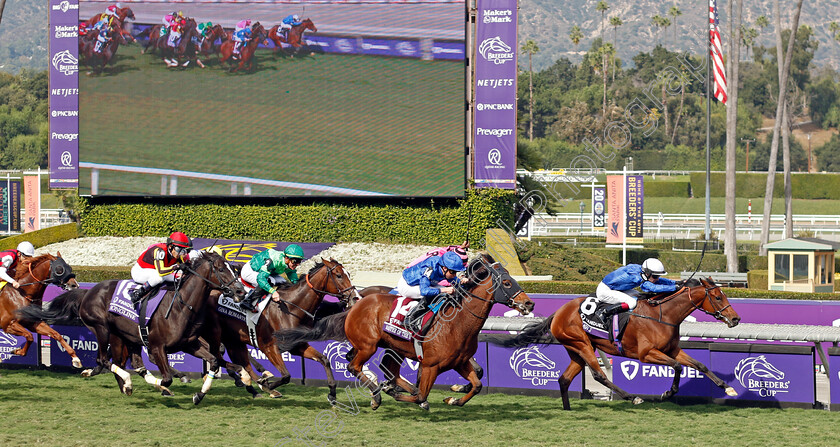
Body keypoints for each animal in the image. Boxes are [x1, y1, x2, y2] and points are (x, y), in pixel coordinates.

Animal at [19, 252, 244, 402]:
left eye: (233, 268)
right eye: (221, 269)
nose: (240, 291)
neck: (181, 305)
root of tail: (88, 292)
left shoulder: (189, 344)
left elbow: (213, 361)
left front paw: (199, 394)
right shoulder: (157, 346)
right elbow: (166, 379)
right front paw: (166, 387)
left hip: (125, 336)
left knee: (126, 362)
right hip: (102, 329)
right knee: (104, 360)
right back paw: (124, 381)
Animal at [207, 258, 360, 404]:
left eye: (349, 274)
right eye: (339, 275)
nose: (355, 297)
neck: (291, 308)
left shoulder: (297, 345)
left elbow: (324, 360)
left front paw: (332, 393)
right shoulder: (268, 347)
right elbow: (286, 376)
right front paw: (267, 385)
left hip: (234, 339)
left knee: (241, 362)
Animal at [278, 256, 536, 412]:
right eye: (507, 283)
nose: (529, 303)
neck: (459, 323)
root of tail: (356, 302)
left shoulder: (460, 362)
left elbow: (477, 384)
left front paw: (453, 397)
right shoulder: (431, 365)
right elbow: (422, 395)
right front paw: (403, 395)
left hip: (386, 346)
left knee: (377, 367)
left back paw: (386, 388)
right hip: (370, 345)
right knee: (354, 366)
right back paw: (378, 394)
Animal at [496, 278, 740, 412]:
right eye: (718, 297)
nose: (736, 319)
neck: (662, 315)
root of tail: (560, 311)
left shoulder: (672, 350)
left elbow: (700, 365)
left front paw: (727, 387)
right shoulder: (646, 354)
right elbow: (677, 367)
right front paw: (667, 393)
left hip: (576, 349)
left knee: (564, 378)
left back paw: (567, 409)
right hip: (582, 344)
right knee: (599, 375)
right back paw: (633, 397)